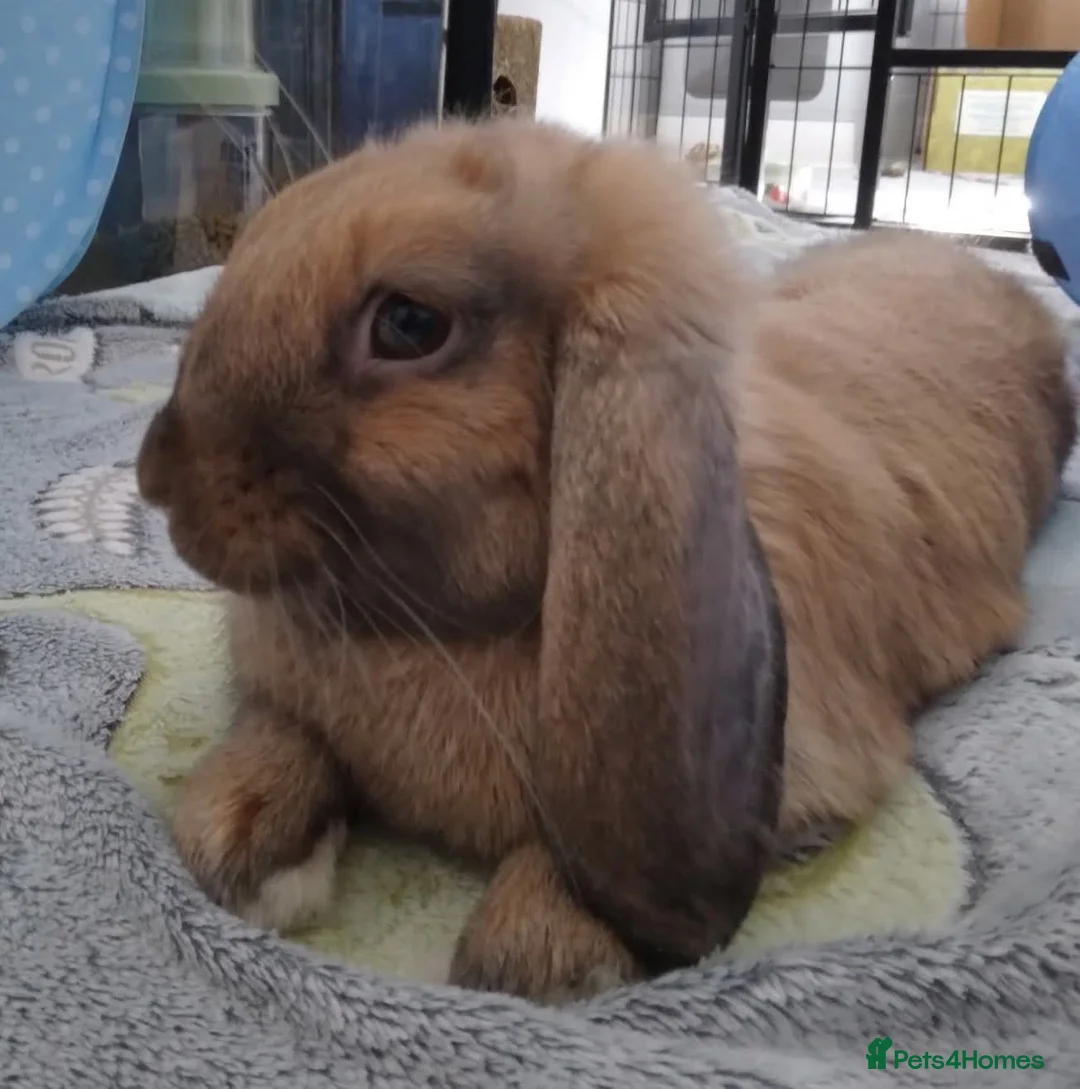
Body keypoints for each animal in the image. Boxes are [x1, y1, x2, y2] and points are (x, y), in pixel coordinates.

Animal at [135, 116, 1075, 1002]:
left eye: (409, 323)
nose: (156, 475)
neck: (444, 630)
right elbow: (284, 734)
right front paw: (238, 841)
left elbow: (569, 865)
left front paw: (541, 956)